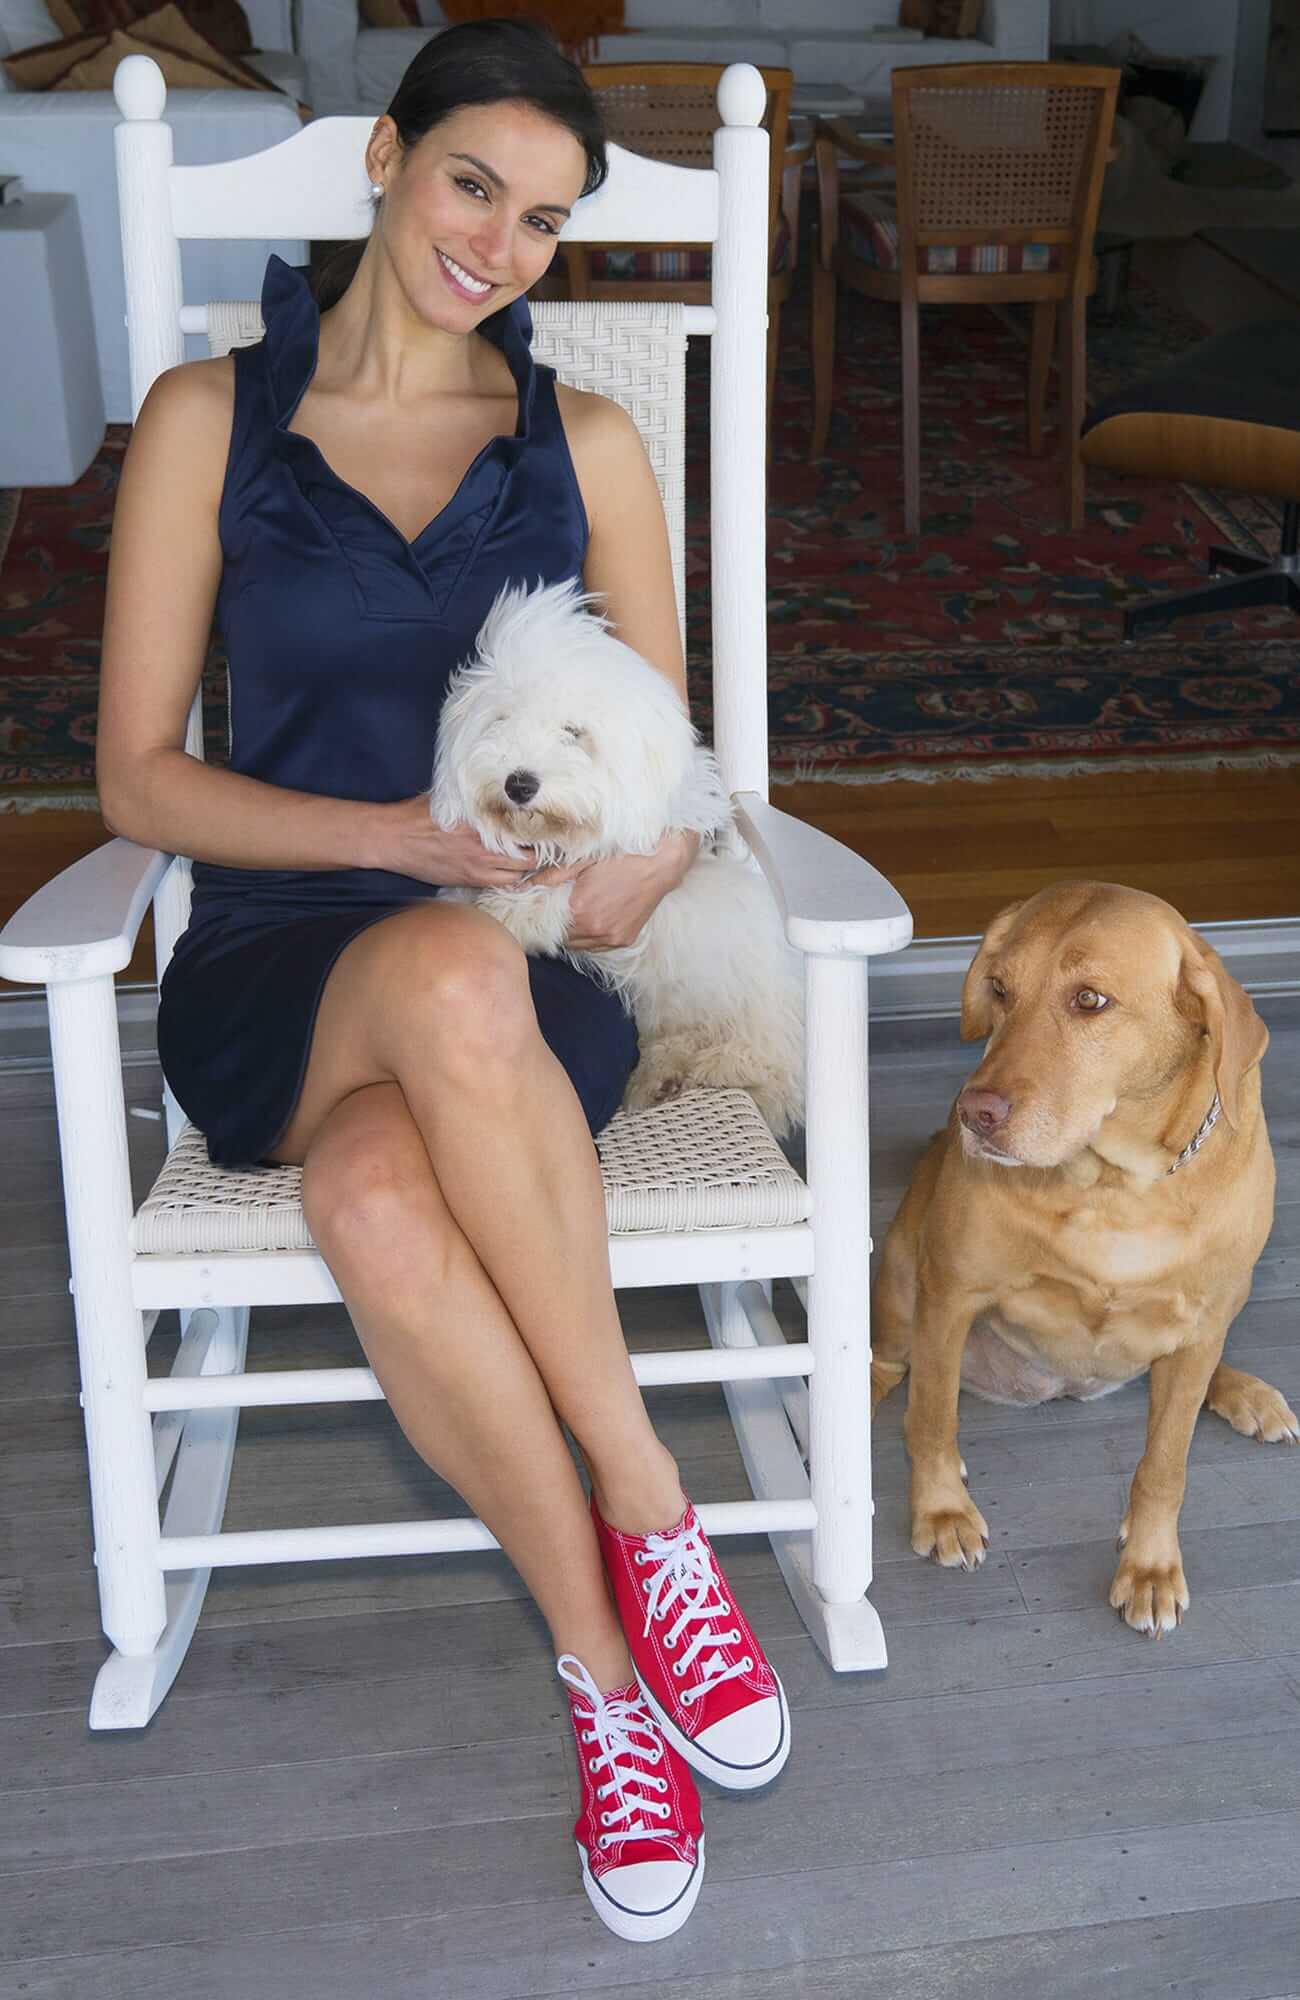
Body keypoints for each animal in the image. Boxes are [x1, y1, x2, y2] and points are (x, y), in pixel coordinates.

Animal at [429, 579, 804, 1136]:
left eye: (573, 732)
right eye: (500, 721)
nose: (519, 784)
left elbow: (581, 872)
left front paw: (519, 911)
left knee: (771, 1064)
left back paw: (719, 1065)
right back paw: (659, 1077)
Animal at [871, 880, 1291, 1637]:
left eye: (1089, 1000)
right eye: (1000, 989)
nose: (973, 1115)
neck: (1114, 1186)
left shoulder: (1202, 1323)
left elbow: (1165, 1466)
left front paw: (1150, 1565)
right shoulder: (950, 1294)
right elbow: (934, 1418)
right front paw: (941, 1509)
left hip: (1211, 1323)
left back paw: (1245, 1391)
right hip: (897, 1278)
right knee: (887, 1367)